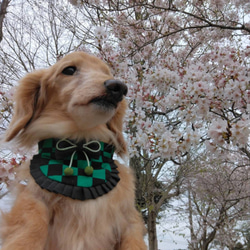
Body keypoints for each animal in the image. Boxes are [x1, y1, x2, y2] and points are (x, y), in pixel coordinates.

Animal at [0, 51, 146, 249]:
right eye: (69, 70)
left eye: (107, 73)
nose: (119, 87)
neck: (80, 150)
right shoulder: (33, 197)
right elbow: (31, 224)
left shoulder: (129, 217)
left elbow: (133, 240)